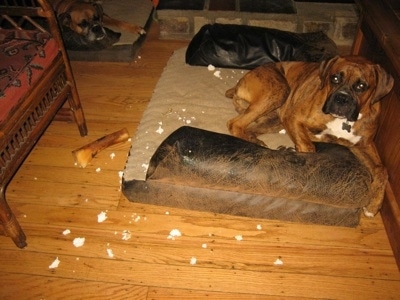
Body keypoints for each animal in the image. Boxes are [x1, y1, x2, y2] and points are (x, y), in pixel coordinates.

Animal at [225, 55, 394, 216]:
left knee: (250, 128)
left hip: (275, 118)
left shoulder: (364, 145)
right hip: (279, 90)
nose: (341, 98)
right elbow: (309, 147)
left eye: (361, 86)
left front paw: (373, 205)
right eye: (334, 78)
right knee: (235, 124)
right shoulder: (293, 118)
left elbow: (382, 169)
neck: (341, 121)